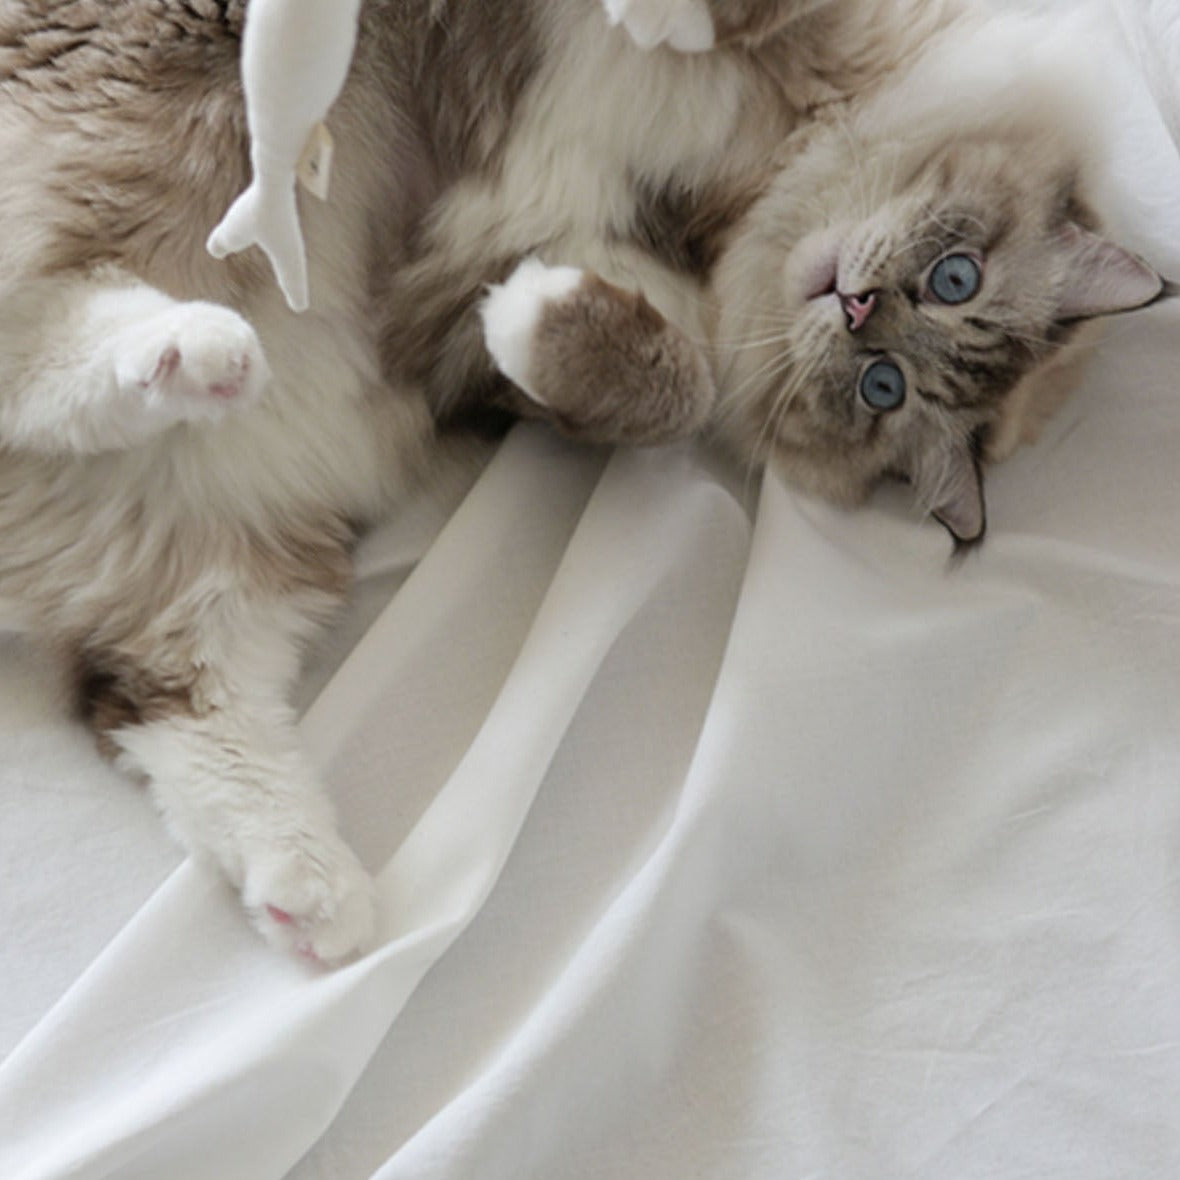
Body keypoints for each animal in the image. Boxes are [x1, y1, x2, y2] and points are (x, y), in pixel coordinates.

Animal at [0, 0, 1161, 958]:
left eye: (885, 389)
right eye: (954, 280)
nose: (857, 308)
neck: (741, 206)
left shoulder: (538, 331)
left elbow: (667, 383)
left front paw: (535, 313)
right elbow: (732, 19)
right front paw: (661, 22)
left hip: (245, 558)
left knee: (173, 693)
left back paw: (320, 901)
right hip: (164, 105)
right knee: (38, 328)